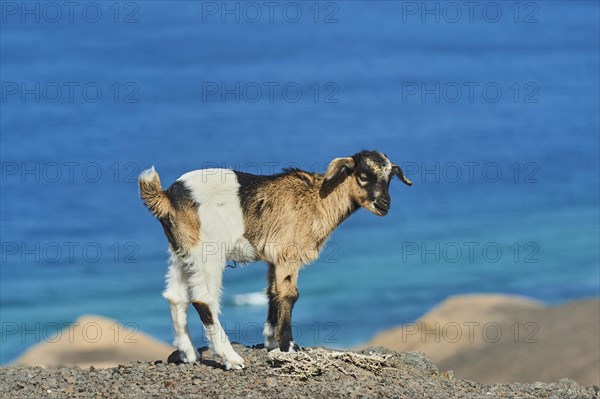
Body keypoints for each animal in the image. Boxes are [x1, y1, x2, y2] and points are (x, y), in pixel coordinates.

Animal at [139, 151, 412, 372]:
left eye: (390, 177)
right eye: (363, 176)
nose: (384, 204)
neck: (317, 198)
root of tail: (166, 197)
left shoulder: (273, 259)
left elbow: (272, 292)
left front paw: (271, 341)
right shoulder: (288, 254)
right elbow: (289, 294)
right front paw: (289, 346)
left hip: (181, 250)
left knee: (175, 296)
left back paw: (189, 354)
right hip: (207, 252)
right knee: (203, 300)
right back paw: (231, 359)